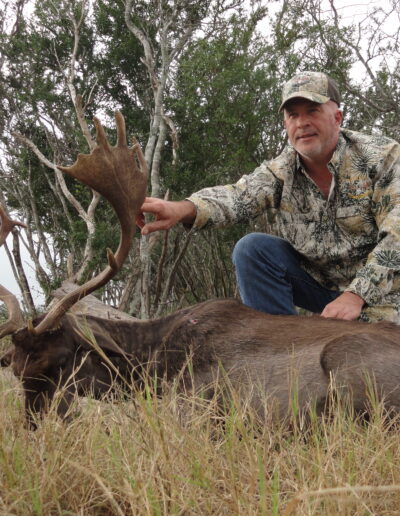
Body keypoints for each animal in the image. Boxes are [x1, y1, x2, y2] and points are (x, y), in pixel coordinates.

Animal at [2, 113, 400, 428]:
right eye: (16, 368)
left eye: (57, 361)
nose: (35, 427)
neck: (150, 358)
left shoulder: (193, 401)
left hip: (346, 363)